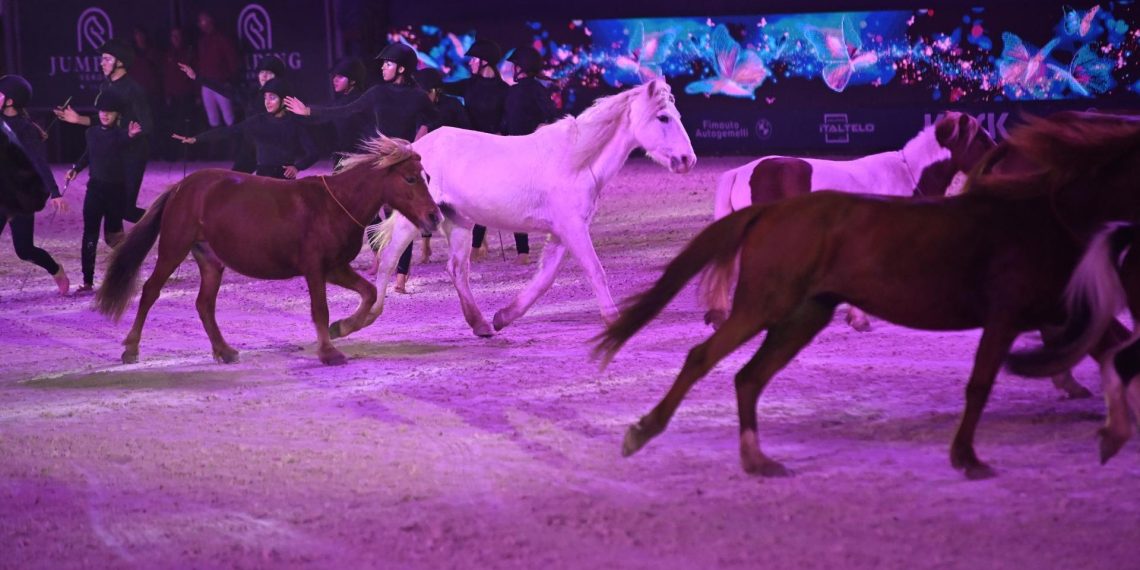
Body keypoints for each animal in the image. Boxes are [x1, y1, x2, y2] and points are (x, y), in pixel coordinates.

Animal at [95, 134, 440, 366]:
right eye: (410, 178)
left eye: (427, 176)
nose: (434, 216)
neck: (334, 205)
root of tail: (182, 187)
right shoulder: (315, 269)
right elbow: (320, 309)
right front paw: (329, 351)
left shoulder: (335, 267)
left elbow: (368, 292)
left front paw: (341, 328)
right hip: (173, 249)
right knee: (151, 291)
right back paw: (131, 348)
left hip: (210, 260)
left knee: (204, 304)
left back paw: (224, 351)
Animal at [363, 78, 696, 338]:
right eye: (663, 118)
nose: (687, 160)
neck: (576, 161)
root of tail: (415, 149)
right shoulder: (572, 228)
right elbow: (595, 271)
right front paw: (615, 321)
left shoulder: (563, 232)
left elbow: (545, 279)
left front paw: (504, 316)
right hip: (414, 221)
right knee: (389, 258)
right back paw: (369, 315)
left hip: (459, 222)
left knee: (457, 269)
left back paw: (482, 325)